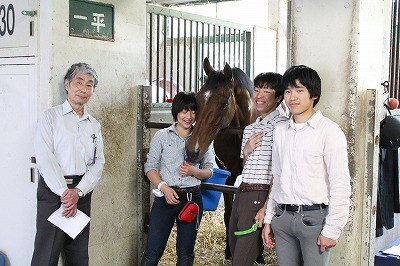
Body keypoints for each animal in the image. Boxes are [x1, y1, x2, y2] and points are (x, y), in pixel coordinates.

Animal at [186, 57, 258, 258]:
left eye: (224, 104)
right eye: (198, 100)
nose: (192, 150)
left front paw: (260, 255)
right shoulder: (228, 178)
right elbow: (229, 214)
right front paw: (228, 251)